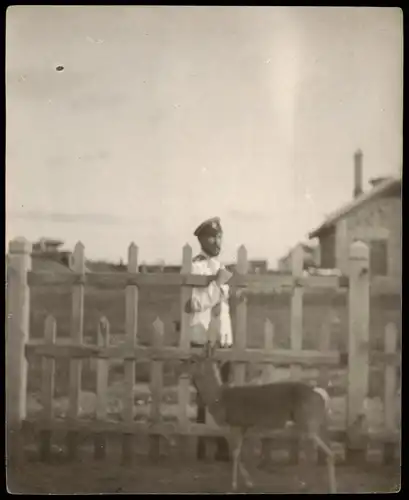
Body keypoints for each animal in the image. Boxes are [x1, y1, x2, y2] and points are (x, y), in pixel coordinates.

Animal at [180, 344, 336, 492]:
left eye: (192, 360)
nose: (180, 370)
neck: (219, 399)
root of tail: (321, 394)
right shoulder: (243, 427)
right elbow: (238, 453)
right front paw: (249, 482)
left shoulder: (236, 423)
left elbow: (235, 453)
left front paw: (235, 485)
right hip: (313, 423)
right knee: (315, 451)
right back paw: (305, 484)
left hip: (309, 421)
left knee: (328, 452)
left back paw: (329, 487)